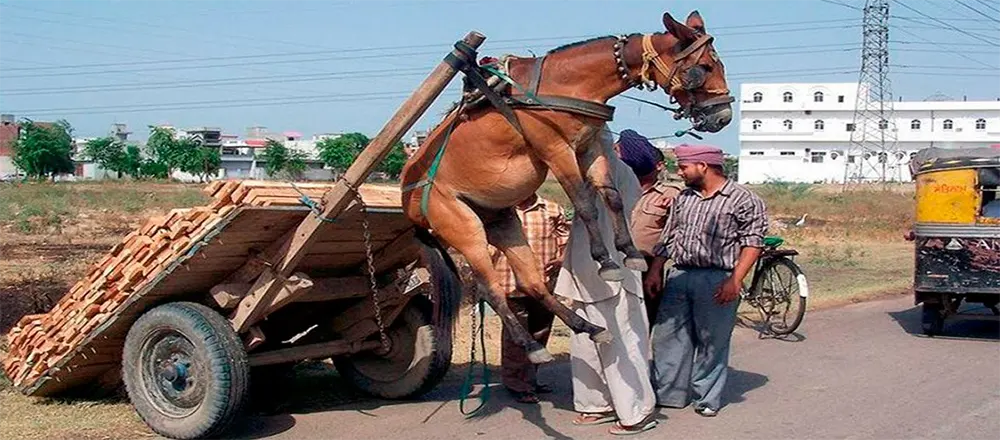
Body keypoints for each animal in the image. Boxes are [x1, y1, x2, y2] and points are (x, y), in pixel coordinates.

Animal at [400, 10, 736, 362]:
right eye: (704, 67)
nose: (723, 116)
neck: (566, 84)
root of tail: (409, 201)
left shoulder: (590, 147)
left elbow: (612, 197)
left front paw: (630, 252)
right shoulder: (556, 150)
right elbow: (585, 204)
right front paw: (606, 261)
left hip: (501, 222)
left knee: (532, 282)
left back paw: (589, 327)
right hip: (462, 228)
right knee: (490, 290)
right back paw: (532, 345)